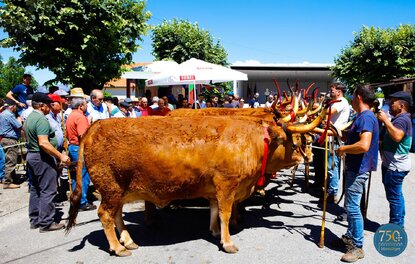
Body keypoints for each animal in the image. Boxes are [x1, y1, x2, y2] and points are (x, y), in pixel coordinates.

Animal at [66, 115, 324, 256]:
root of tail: (96, 126)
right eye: (292, 142)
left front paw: (214, 231)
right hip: (110, 188)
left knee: (117, 215)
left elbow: (214, 211)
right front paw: (228, 242)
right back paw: (118, 248)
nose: (306, 157)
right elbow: (225, 213)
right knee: (105, 215)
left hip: (117, 190)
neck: (252, 142)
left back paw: (128, 241)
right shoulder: (226, 184)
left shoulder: (213, 188)